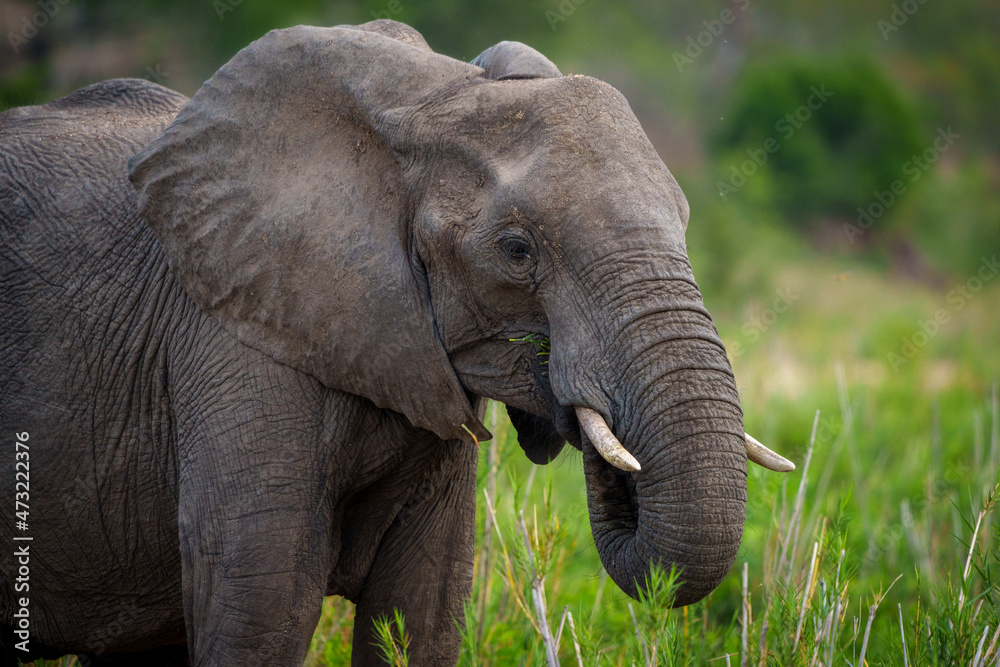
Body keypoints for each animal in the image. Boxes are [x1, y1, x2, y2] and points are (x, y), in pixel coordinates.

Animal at [1, 18, 788, 664]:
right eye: (517, 251)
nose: (579, 408)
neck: (434, 95)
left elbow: (425, 610)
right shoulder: (233, 341)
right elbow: (260, 612)